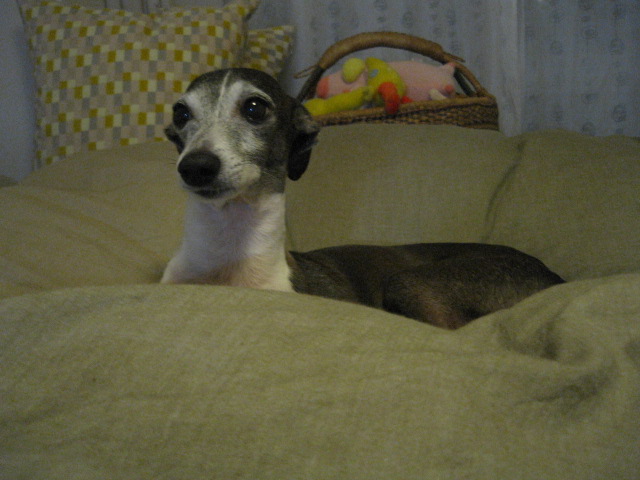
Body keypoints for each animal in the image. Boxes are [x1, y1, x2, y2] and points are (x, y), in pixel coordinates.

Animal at [161, 68, 564, 329]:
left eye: (255, 107)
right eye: (180, 112)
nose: (195, 167)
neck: (226, 260)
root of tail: (555, 277)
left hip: (409, 282)